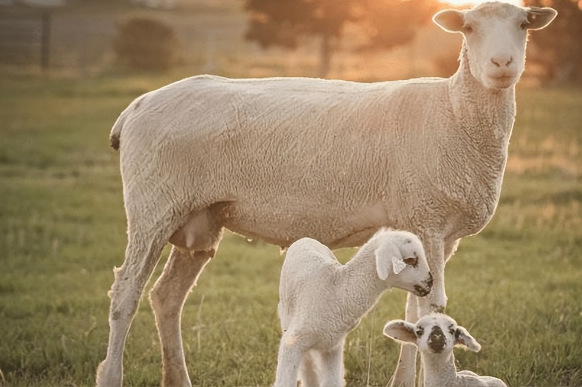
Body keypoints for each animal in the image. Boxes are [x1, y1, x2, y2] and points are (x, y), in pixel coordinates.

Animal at [274, 230, 434, 387]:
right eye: (410, 260)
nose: (430, 282)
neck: (335, 291)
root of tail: (306, 239)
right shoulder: (292, 343)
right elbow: (285, 381)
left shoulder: (332, 347)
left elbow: (333, 382)